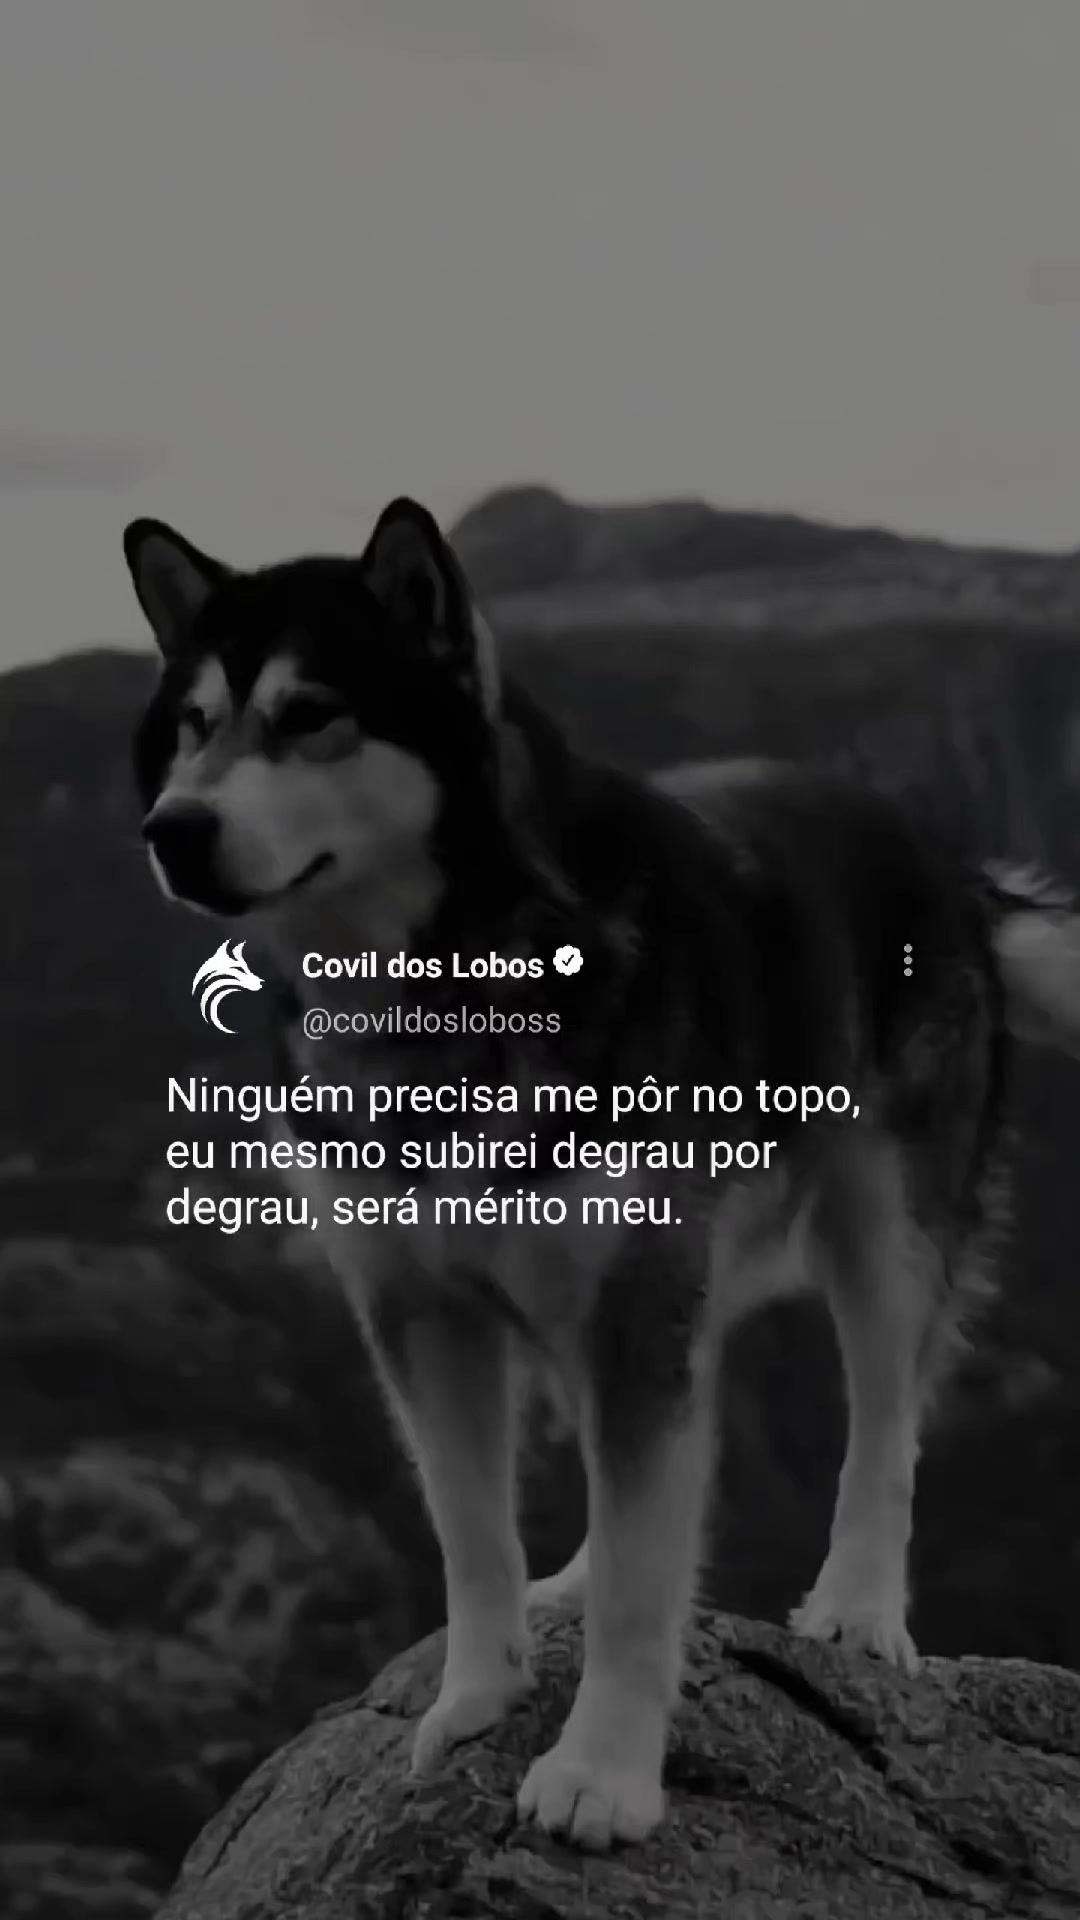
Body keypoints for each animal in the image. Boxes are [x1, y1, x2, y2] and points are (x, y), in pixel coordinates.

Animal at [123, 496, 1080, 1852]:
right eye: (195, 725)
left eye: (312, 714)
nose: (173, 830)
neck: (447, 986)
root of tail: (943, 859)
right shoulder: (421, 1308)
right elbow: (474, 1532)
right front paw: (478, 1695)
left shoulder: (634, 1301)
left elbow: (647, 1579)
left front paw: (603, 1774)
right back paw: (573, 1576)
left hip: (878, 1221)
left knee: (886, 1423)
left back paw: (859, 1605)